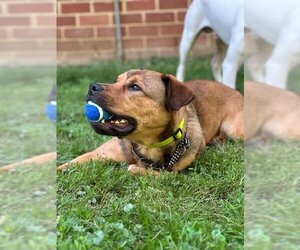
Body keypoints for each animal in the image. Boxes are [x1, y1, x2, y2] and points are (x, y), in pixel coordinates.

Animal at [56, 68, 244, 175]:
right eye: (116, 81)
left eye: (135, 87)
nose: (92, 86)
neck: (145, 146)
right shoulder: (97, 154)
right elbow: (67, 163)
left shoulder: (174, 172)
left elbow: (149, 172)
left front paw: (137, 169)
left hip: (234, 130)